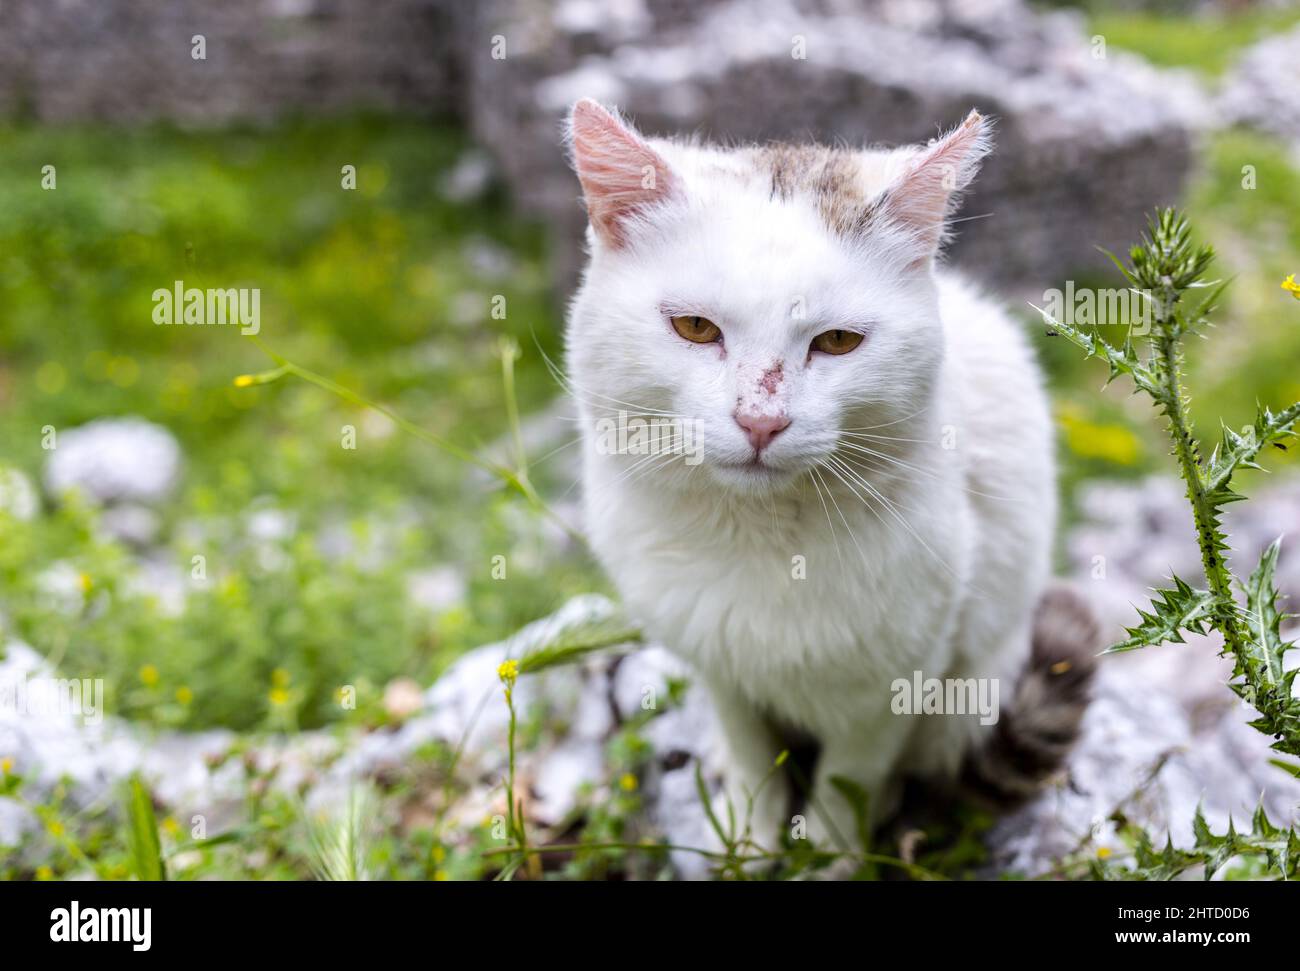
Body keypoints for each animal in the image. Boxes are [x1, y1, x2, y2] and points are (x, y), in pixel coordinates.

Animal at [564, 98, 1092, 852]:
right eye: (694, 328)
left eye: (838, 341)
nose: (760, 420)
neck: (762, 543)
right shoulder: (718, 664)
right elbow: (751, 747)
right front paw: (751, 834)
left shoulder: (898, 680)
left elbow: (853, 773)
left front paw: (830, 848)